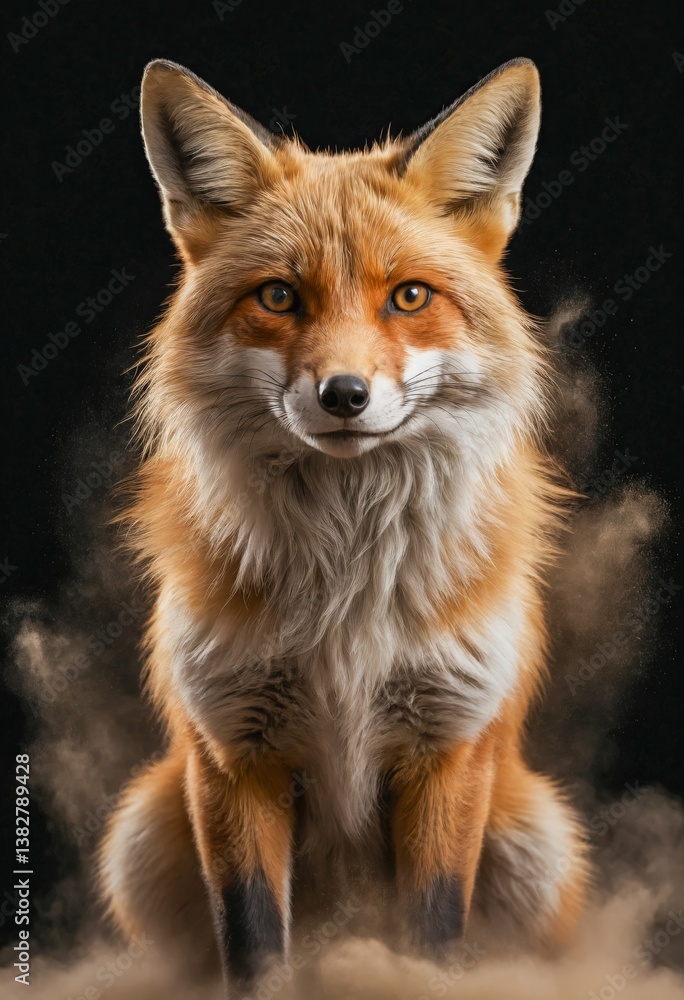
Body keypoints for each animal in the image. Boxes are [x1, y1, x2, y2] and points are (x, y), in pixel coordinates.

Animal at [99, 57, 591, 995]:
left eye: (408, 296)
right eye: (279, 296)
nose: (345, 395)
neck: (347, 582)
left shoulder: (446, 747)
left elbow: (430, 939)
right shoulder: (233, 755)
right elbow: (254, 948)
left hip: (533, 837)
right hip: (139, 833)